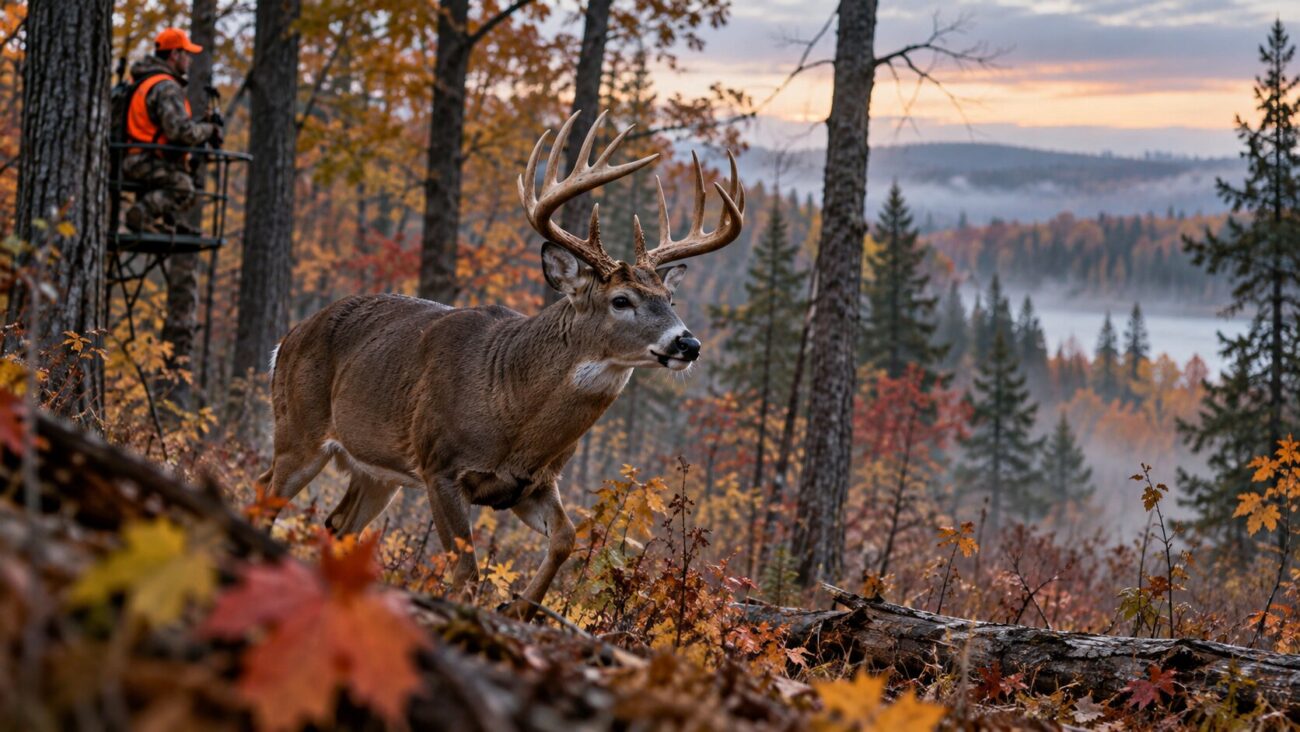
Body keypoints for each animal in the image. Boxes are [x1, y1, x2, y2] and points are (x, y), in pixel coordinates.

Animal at [256, 110, 744, 619]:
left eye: (670, 299)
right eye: (621, 300)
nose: (688, 343)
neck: (513, 412)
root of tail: (287, 338)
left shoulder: (533, 484)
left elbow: (566, 538)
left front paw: (519, 608)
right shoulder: (439, 466)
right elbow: (467, 574)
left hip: (375, 470)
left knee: (337, 523)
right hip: (299, 430)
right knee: (266, 489)